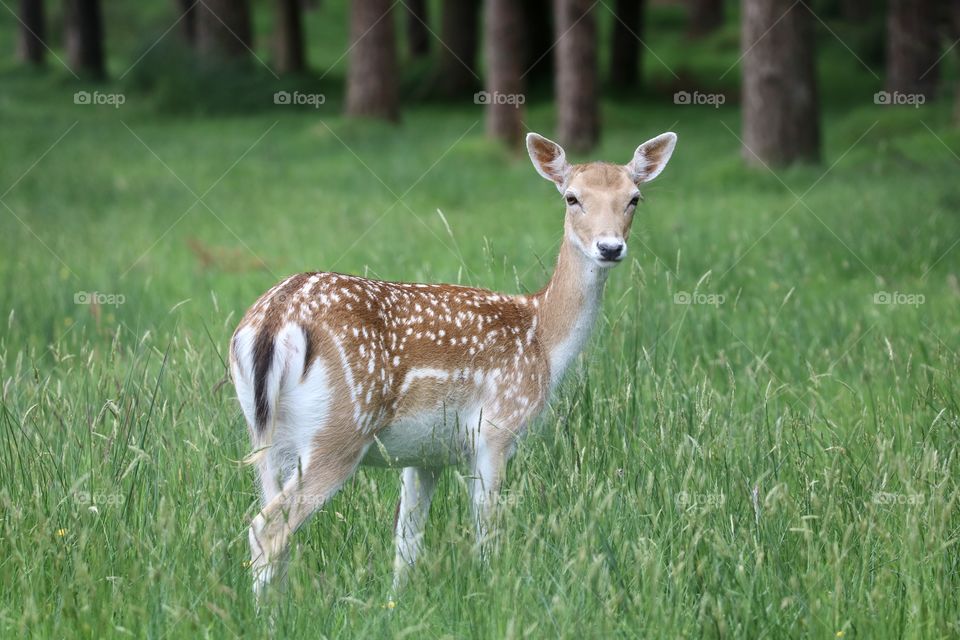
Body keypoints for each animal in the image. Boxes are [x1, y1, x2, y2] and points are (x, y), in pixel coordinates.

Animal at [230, 131, 677, 601]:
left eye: (634, 198)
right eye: (572, 197)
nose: (610, 247)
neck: (541, 337)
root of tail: (274, 319)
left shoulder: (426, 453)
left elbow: (406, 542)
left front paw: (397, 603)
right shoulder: (497, 427)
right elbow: (486, 530)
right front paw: (493, 590)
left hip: (265, 434)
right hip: (339, 429)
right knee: (267, 527)